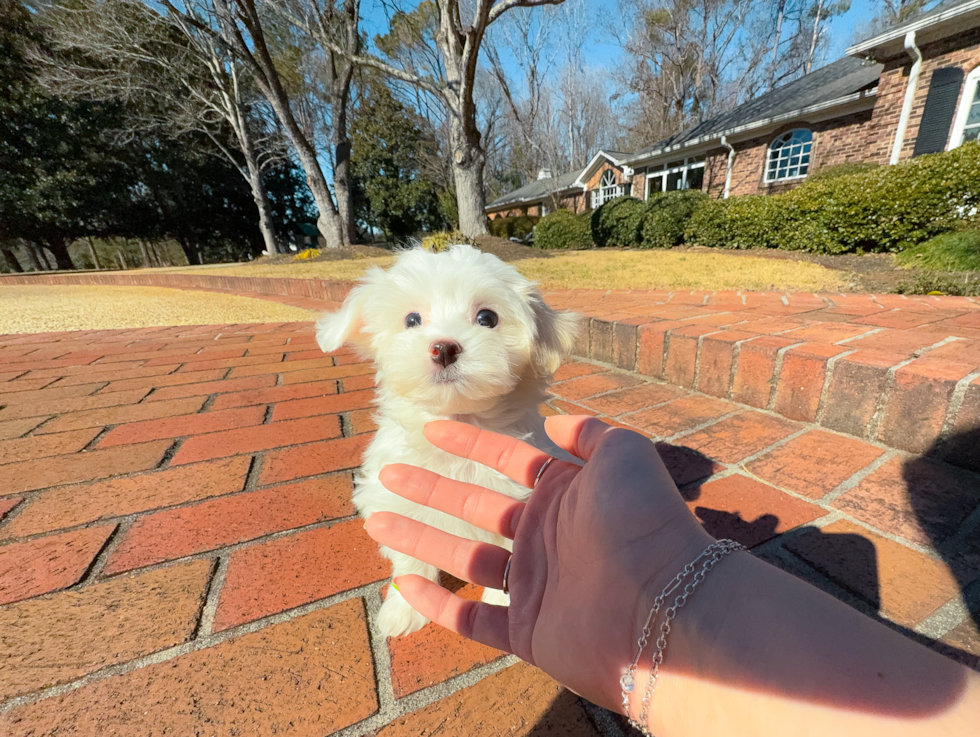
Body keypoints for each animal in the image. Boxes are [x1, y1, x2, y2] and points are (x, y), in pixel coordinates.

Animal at [314, 244, 580, 636]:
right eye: (411, 320)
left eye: (487, 317)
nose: (443, 348)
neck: (457, 423)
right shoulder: (395, 502)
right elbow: (409, 559)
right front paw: (405, 608)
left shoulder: (516, 502)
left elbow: (509, 553)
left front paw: (501, 602)